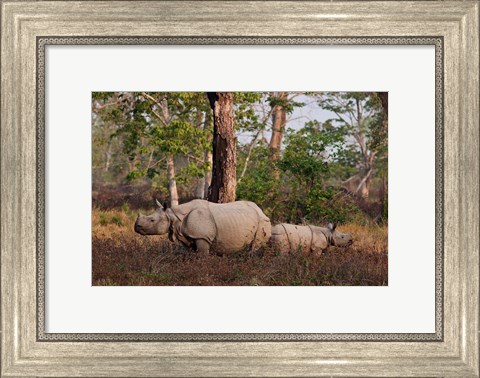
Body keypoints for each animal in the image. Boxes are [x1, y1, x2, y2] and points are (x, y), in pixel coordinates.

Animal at [133, 199, 272, 255]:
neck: (173, 215)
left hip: (263, 221)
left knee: (255, 246)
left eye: (152, 220)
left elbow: (202, 255)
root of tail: (262, 211)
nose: (136, 227)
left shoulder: (202, 236)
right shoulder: (187, 236)